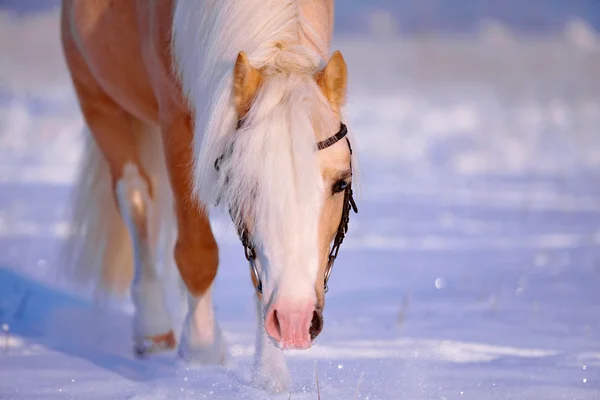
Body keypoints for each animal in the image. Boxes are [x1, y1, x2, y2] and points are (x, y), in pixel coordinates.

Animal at [58, 0, 356, 390]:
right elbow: (196, 252)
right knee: (134, 195)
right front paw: (201, 351)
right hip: (97, 97)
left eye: (341, 183)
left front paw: (270, 375)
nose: (294, 321)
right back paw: (153, 327)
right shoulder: (177, 121)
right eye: (245, 184)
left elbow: (259, 274)